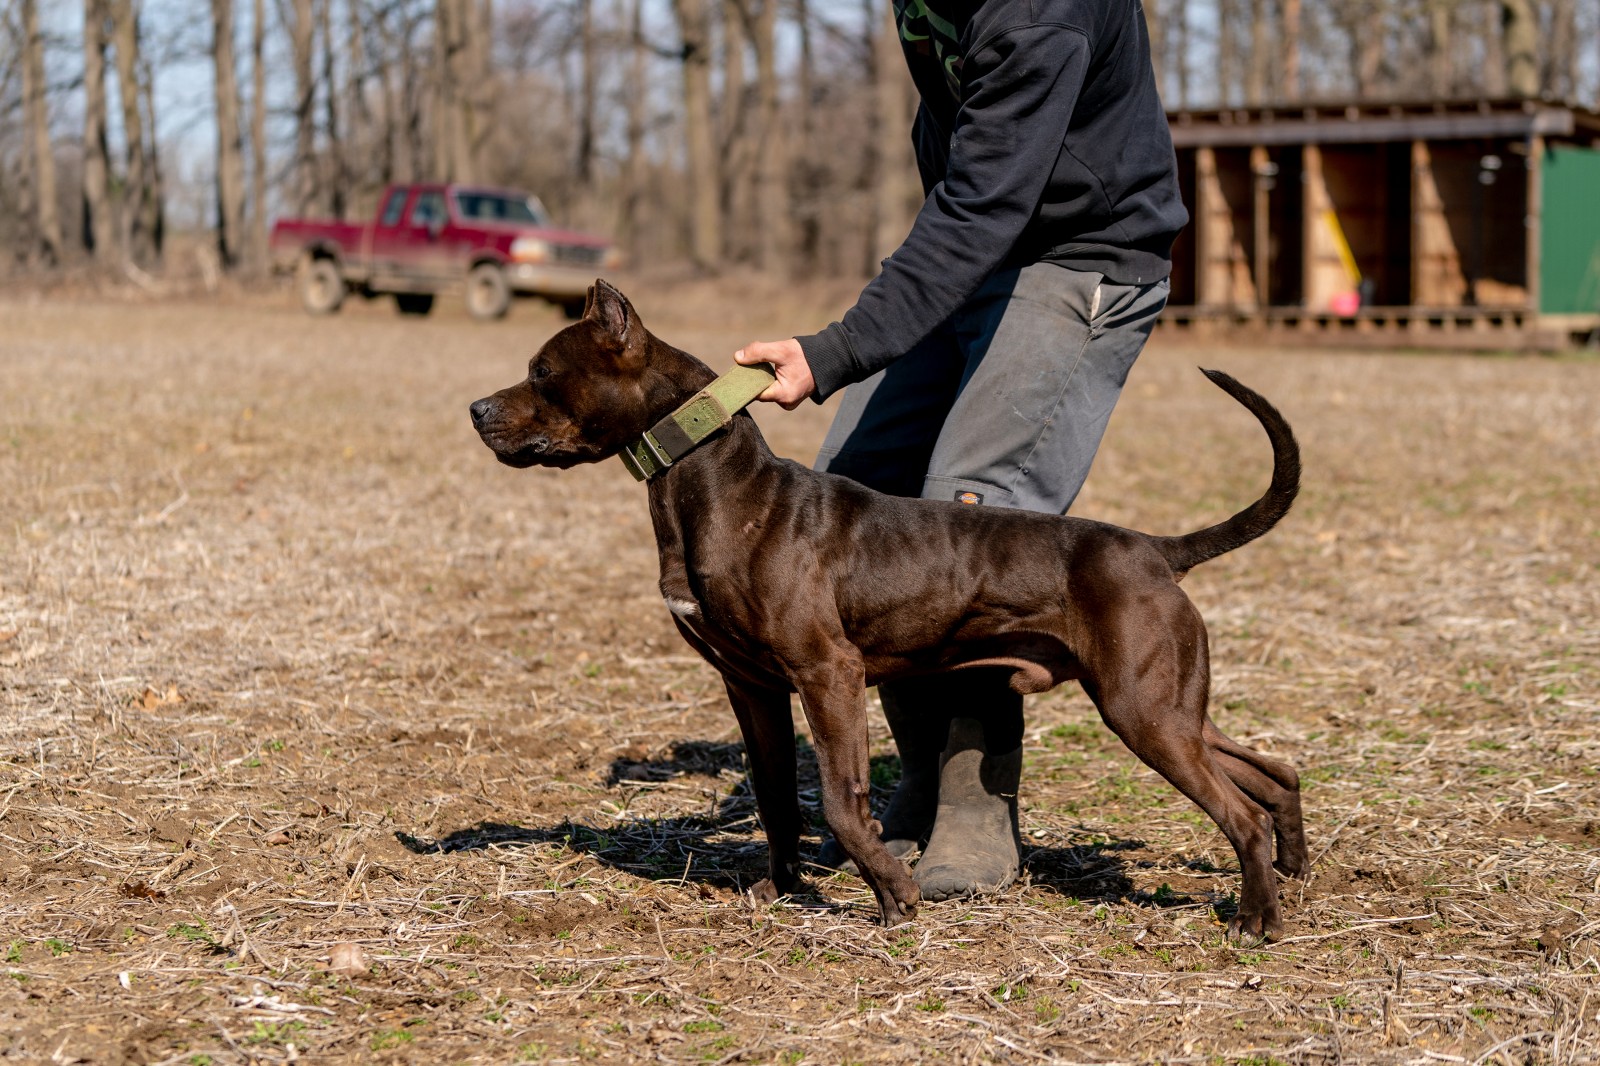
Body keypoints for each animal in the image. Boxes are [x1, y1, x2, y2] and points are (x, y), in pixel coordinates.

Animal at [467, 280, 1312, 941]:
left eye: (543, 371)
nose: (475, 408)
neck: (705, 483)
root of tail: (1157, 550)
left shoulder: (827, 674)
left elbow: (841, 803)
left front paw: (893, 896)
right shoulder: (753, 687)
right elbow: (777, 797)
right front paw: (782, 888)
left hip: (1142, 711)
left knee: (1239, 811)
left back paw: (1255, 920)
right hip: (1169, 705)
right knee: (1273, 773)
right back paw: (1295, 871)